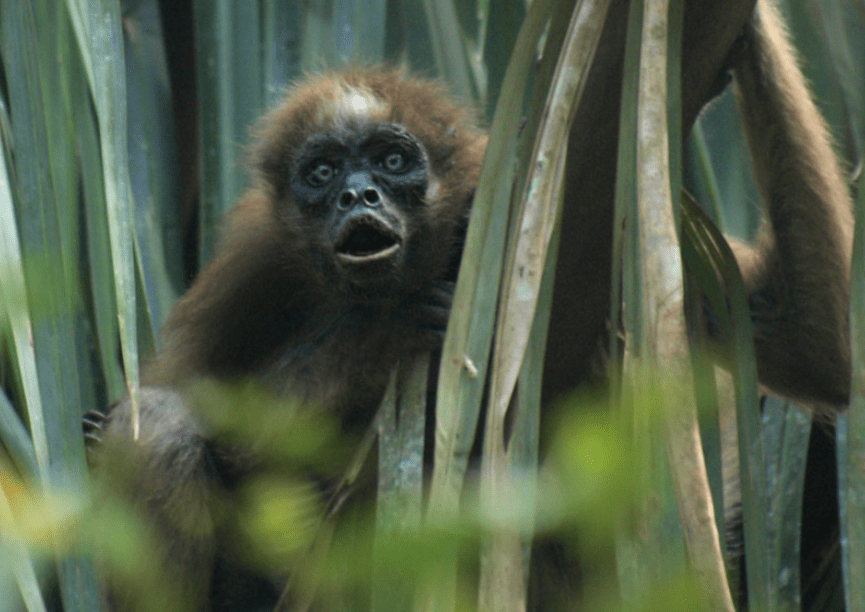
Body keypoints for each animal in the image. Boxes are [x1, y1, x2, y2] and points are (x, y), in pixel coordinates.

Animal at [84, 1, 852, 612]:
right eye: (323, 172)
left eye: (392, 161)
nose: (356, 195)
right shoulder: (259, 254)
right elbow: (169, 396)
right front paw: (378, 337)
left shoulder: (510, 186)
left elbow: (812, 342)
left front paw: (746, 27)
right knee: (157, 423)